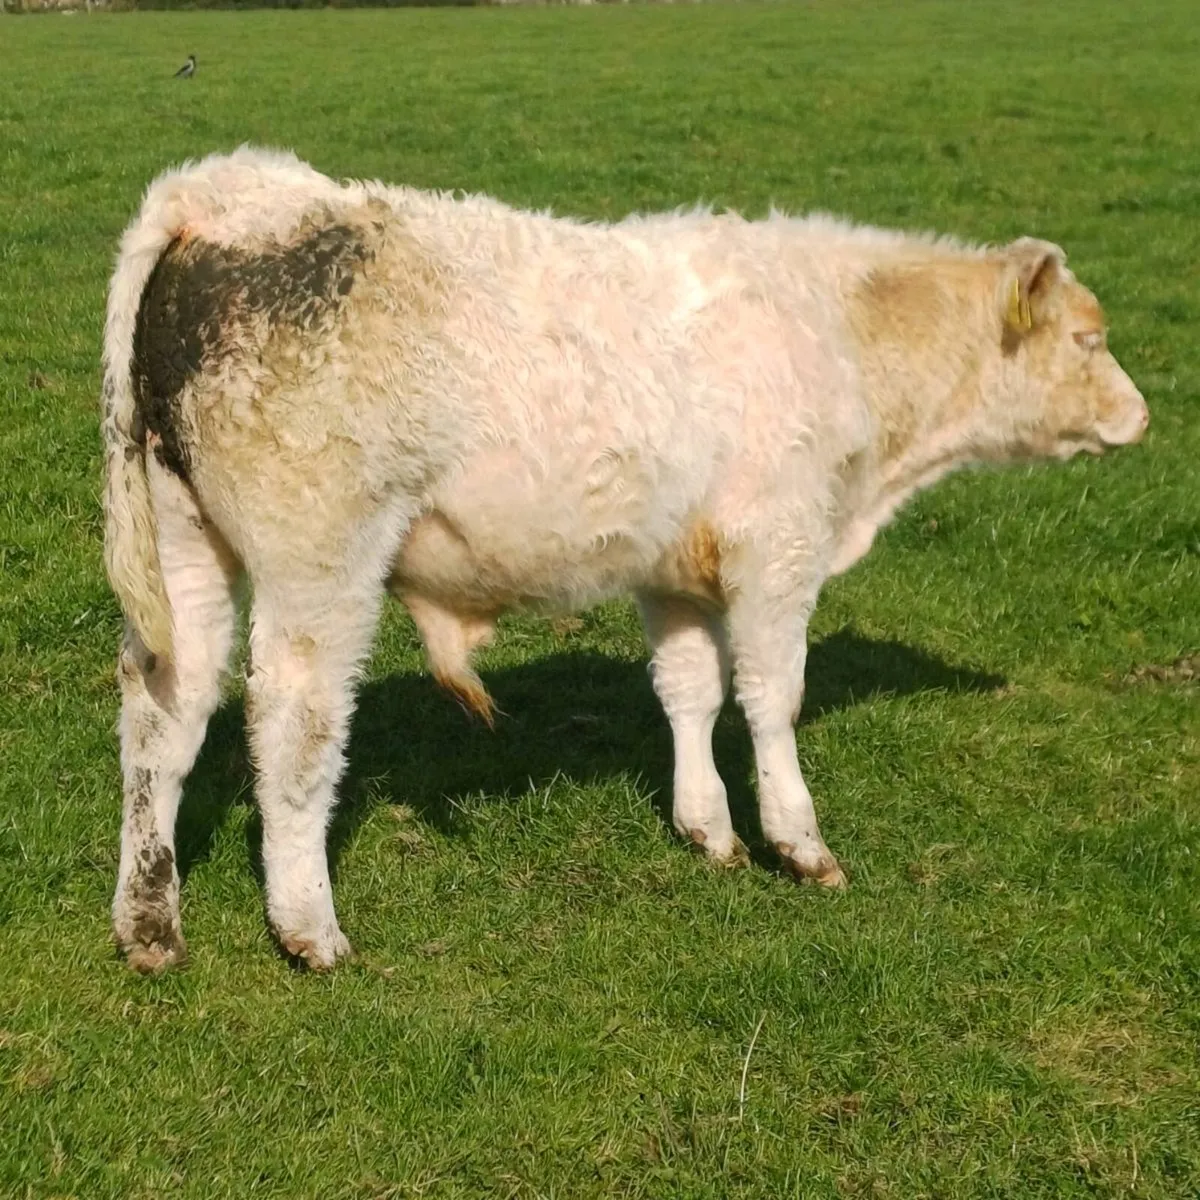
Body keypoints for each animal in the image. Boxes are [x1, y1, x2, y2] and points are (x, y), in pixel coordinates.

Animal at [102, 148, 1148, 972]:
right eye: (1090, 338)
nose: (1142, 414)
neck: (837, 332)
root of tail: (229, 192)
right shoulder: (779, 546)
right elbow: (772, 697)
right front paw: (798, 843)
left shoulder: (673, 568)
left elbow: (688, 690)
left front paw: (708, 829)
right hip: (321, 563)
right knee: (294, 724)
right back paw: (309, 928)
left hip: (186, 548)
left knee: (164, 714)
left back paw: (150, 923)